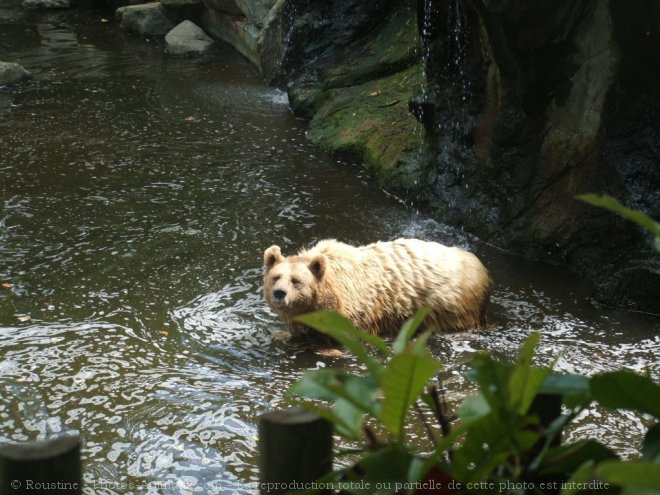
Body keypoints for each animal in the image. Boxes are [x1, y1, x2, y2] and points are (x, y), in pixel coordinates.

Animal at [260, 238, 492, 340]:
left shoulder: (356, 313)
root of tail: (481, 266)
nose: (279, 293)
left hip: (450, 306)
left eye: (296, 280)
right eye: (276, 277)